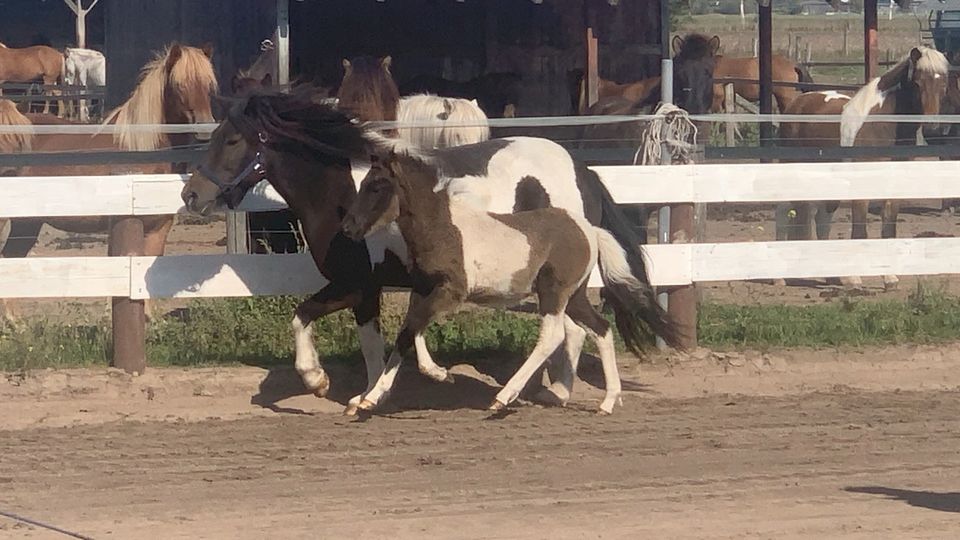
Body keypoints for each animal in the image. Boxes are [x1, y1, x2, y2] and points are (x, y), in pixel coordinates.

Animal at [178, 92, 676, 414]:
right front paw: (372, 392)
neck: (340, 194)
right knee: (576, 327)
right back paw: (558, 392)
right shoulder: (377, 288)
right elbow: (378, 340)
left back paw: (547, 393)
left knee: (568, 329)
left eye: (232, 140)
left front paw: (321, 382)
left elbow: (306, 316)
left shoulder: (354, 282)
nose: (191, 195)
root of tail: (580, 168)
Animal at [780, 46, 952, 292]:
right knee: (791, 215)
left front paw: (890, 279)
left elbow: (888, 229)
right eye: (918, 83)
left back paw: (830, 276)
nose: (933, 128)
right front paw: (855, 280)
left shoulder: (893, 187)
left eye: (944, 84)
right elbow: (859, 229)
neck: (882, 126)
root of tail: (796, 104)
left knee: (821, 219)